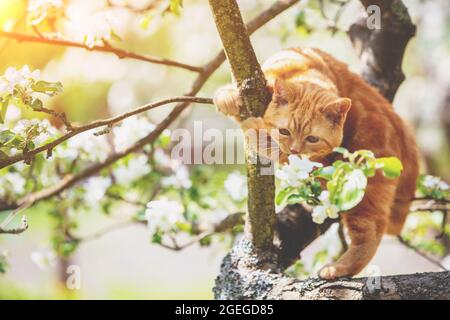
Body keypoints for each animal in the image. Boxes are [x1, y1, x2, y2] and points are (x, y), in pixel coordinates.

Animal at [214, 47, 418, 280]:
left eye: (312, 139)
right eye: (285, 131)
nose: (295, 150)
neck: (303, 67)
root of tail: (400, 123)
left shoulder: (313, 165)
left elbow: (275, 148)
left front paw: (256, 132)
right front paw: (229, 97)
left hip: (359, 186)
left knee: (371, 232)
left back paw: (339, 268)